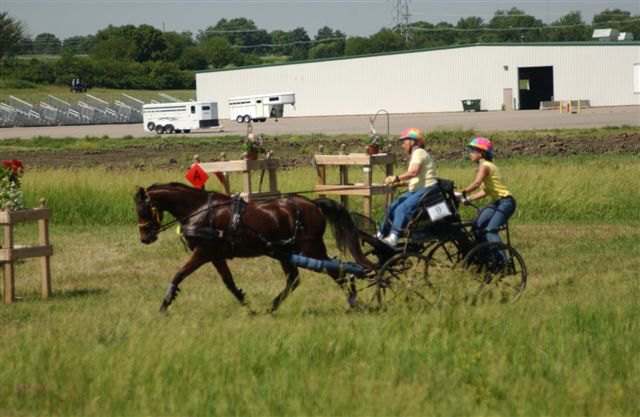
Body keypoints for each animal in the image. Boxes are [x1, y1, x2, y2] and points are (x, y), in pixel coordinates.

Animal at [135, 182, 376, 312]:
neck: (201, 210)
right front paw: (248, 305)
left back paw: (354, 302)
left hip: (310, 247)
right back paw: (273, 306)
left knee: (337, 271)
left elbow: (178, 275)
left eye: (142, 209)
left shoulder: (202, 253)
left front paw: (164, 306)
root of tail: (313, 204)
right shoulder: (215, 255)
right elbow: (229, 283)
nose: (145, 238)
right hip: (287, 252)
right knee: (295, 279)